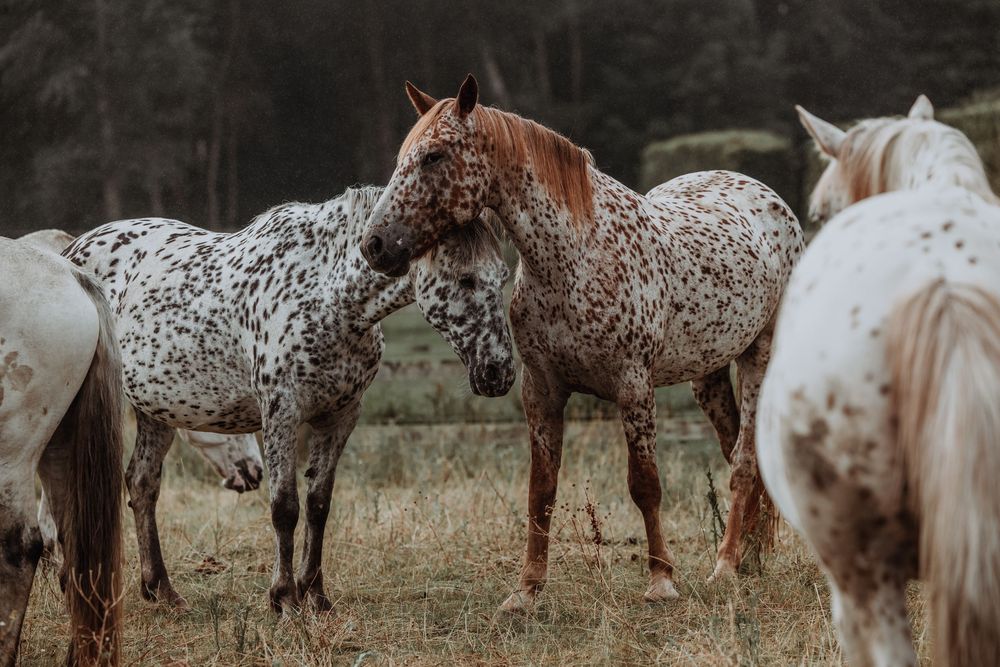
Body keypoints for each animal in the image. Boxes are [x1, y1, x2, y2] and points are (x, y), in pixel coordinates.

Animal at [64, 185, 515, 613]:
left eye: (502, 277)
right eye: (465, 279)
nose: (499, 373)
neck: (327, 296)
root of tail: (70, 251)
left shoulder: (340, 417)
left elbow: (318, 505)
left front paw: (315, 594)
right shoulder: (280, 412)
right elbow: (285, 507)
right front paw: (283, 598)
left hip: (155, 411)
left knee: (142, 485)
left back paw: (162, 589)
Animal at [359, 75, 804, 610]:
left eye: (434, 156)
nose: (374, 245)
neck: (575, 257)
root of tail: (767, 197)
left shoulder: (634, 386)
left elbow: (645, 485)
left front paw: (661, 581)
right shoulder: (541, 388)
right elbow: (541, 491)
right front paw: (526, 590)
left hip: (760, 356)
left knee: (742, 463)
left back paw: (725, 567)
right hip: (709, 375)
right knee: (738, 449)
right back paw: (749, 559)